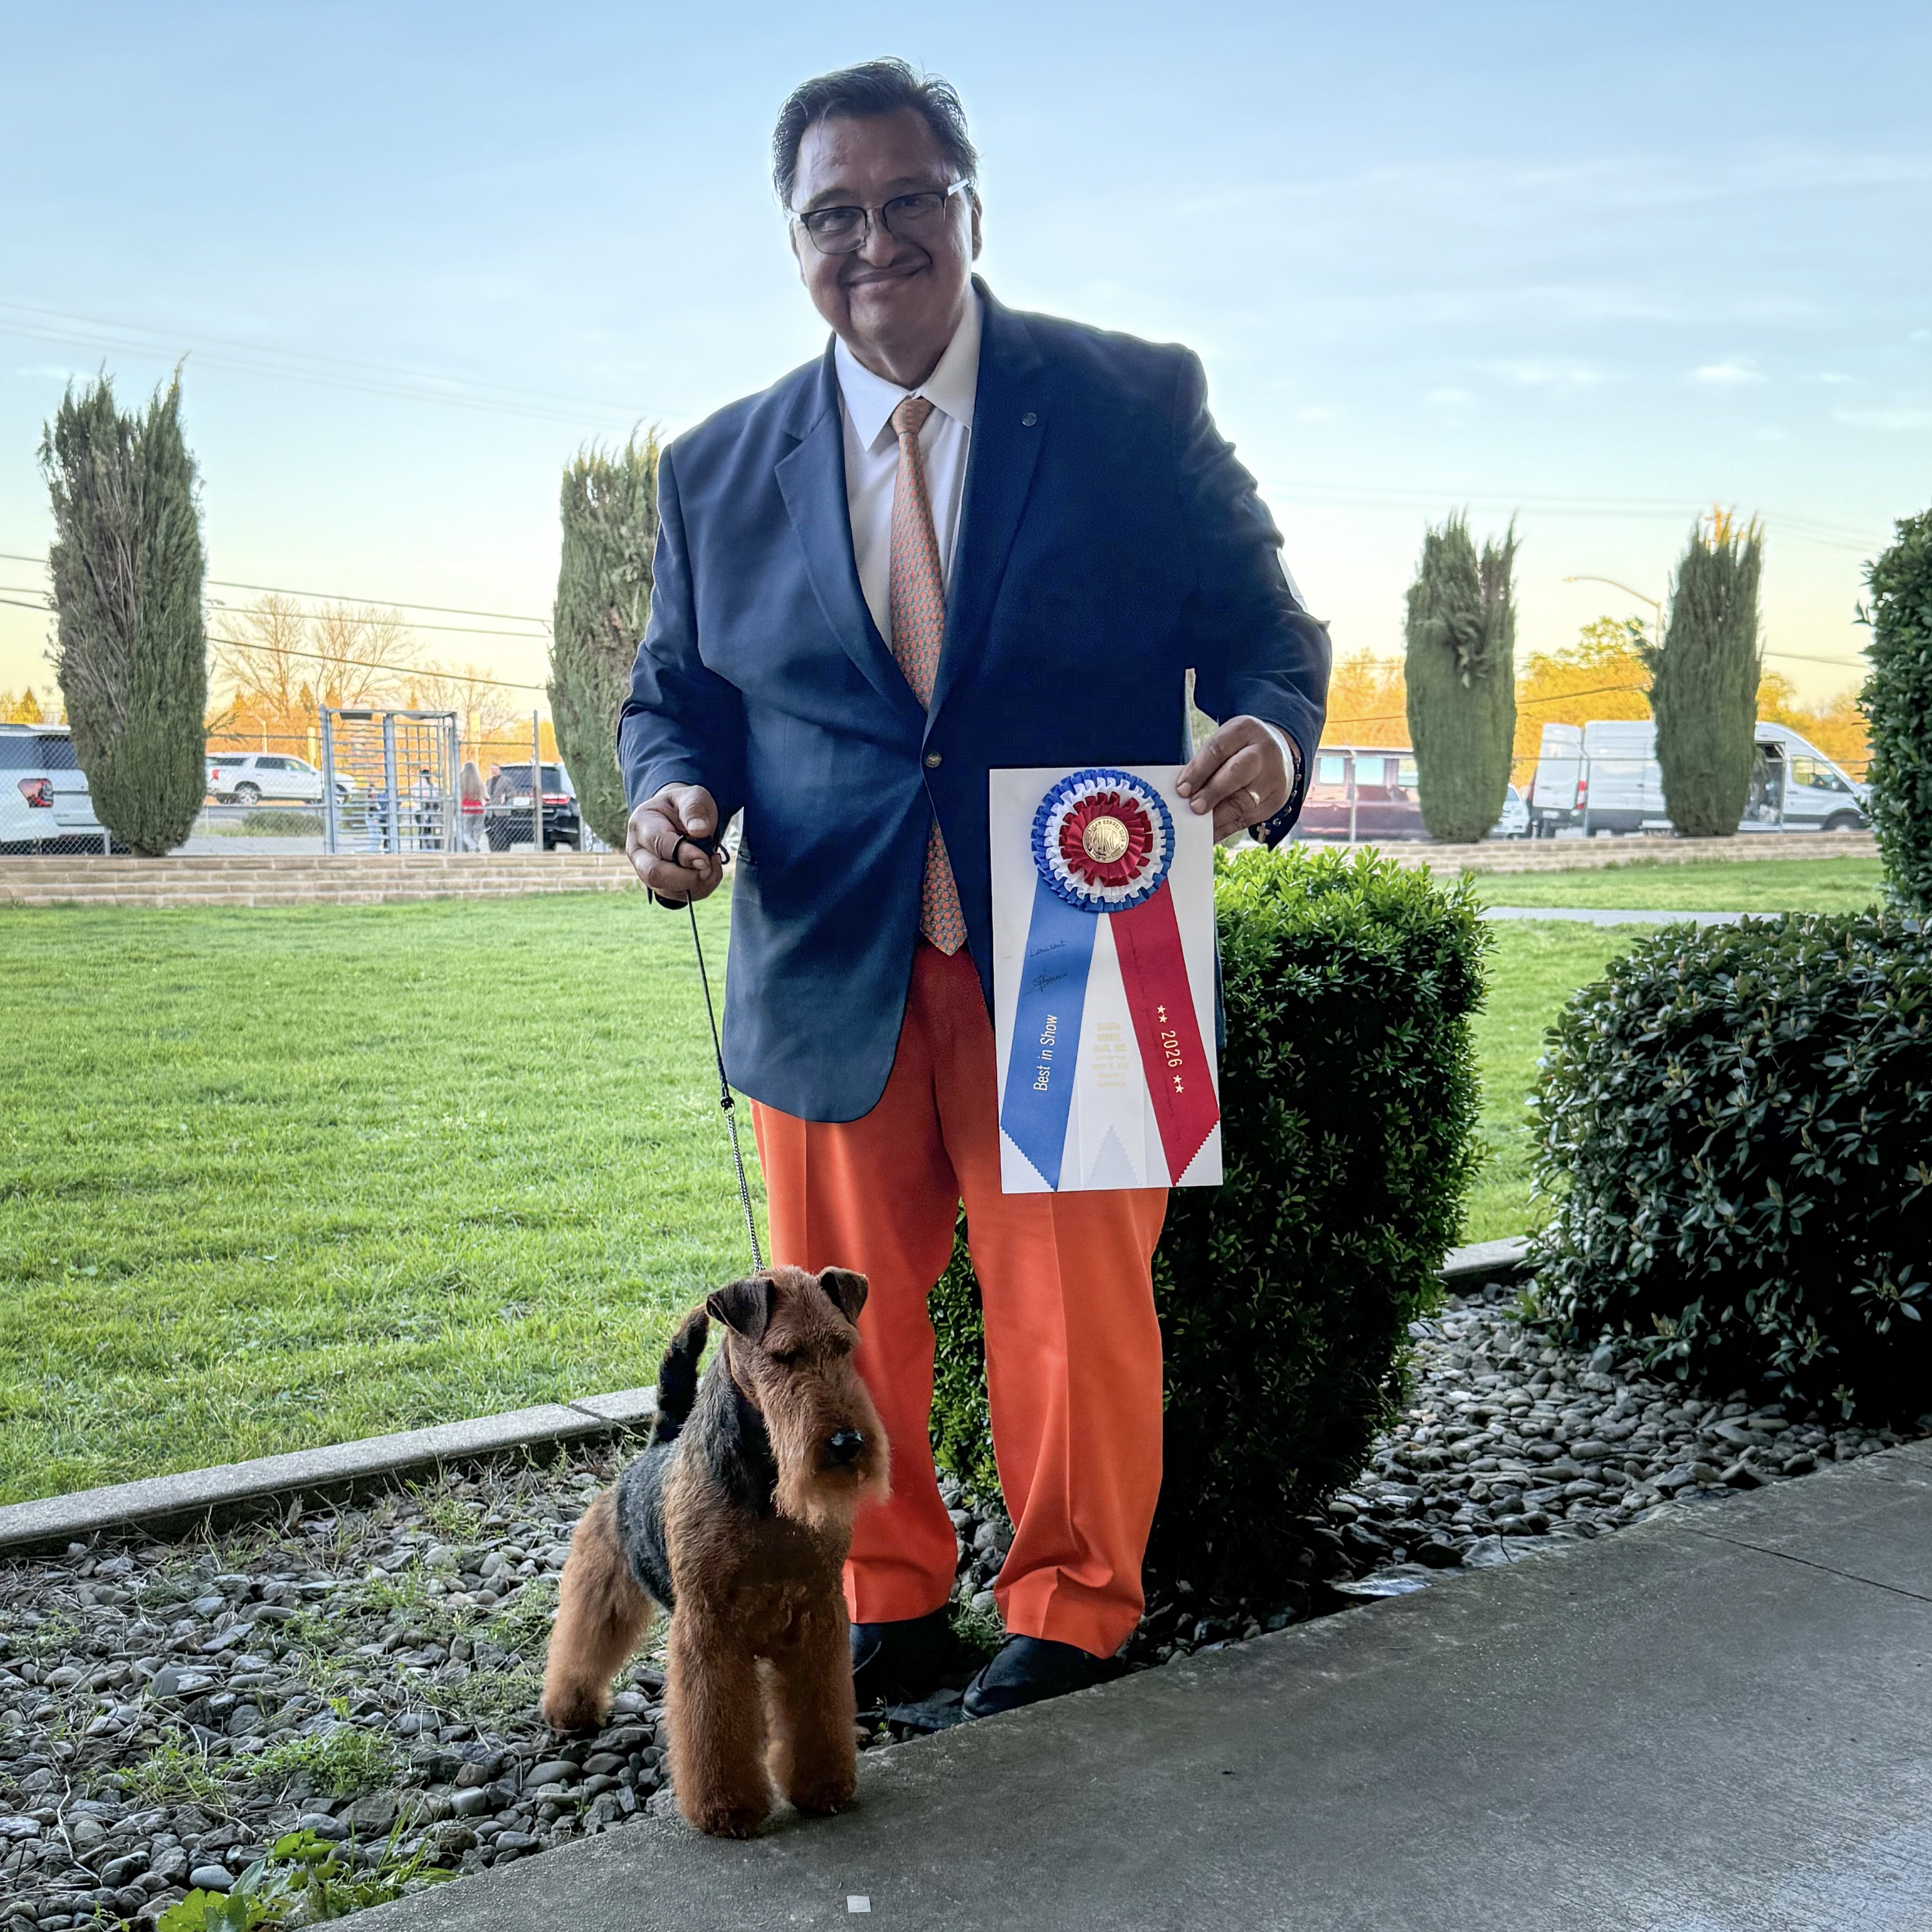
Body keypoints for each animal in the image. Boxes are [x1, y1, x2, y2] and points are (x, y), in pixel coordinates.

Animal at [540, 1264, 890, 1838]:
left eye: (844, 1347)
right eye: (784, 1355)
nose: (847, 1443)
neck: (765, 1490)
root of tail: (659, 1444)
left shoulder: (816, 1615)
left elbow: (817, 1714)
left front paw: (824, 1787)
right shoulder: (710, 1627)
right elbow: (714, 1732)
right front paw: (727, 1810)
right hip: (602, 1579)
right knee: (580, 1645)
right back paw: (570, 1709)